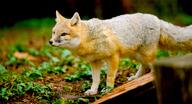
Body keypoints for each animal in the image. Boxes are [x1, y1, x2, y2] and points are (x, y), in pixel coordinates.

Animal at [49, 11, 192, 95]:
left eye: (63, 34)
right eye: (54, 32)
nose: (50, 42)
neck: (89, 38)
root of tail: (156, 18)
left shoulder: (113, 57)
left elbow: (109, 76)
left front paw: (108, 90)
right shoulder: (95, 62)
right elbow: (95, 78)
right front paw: (93, 91)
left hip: (145, 55)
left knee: (151, 66)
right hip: (136, 55)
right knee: (144, 66)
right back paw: (137, 78)